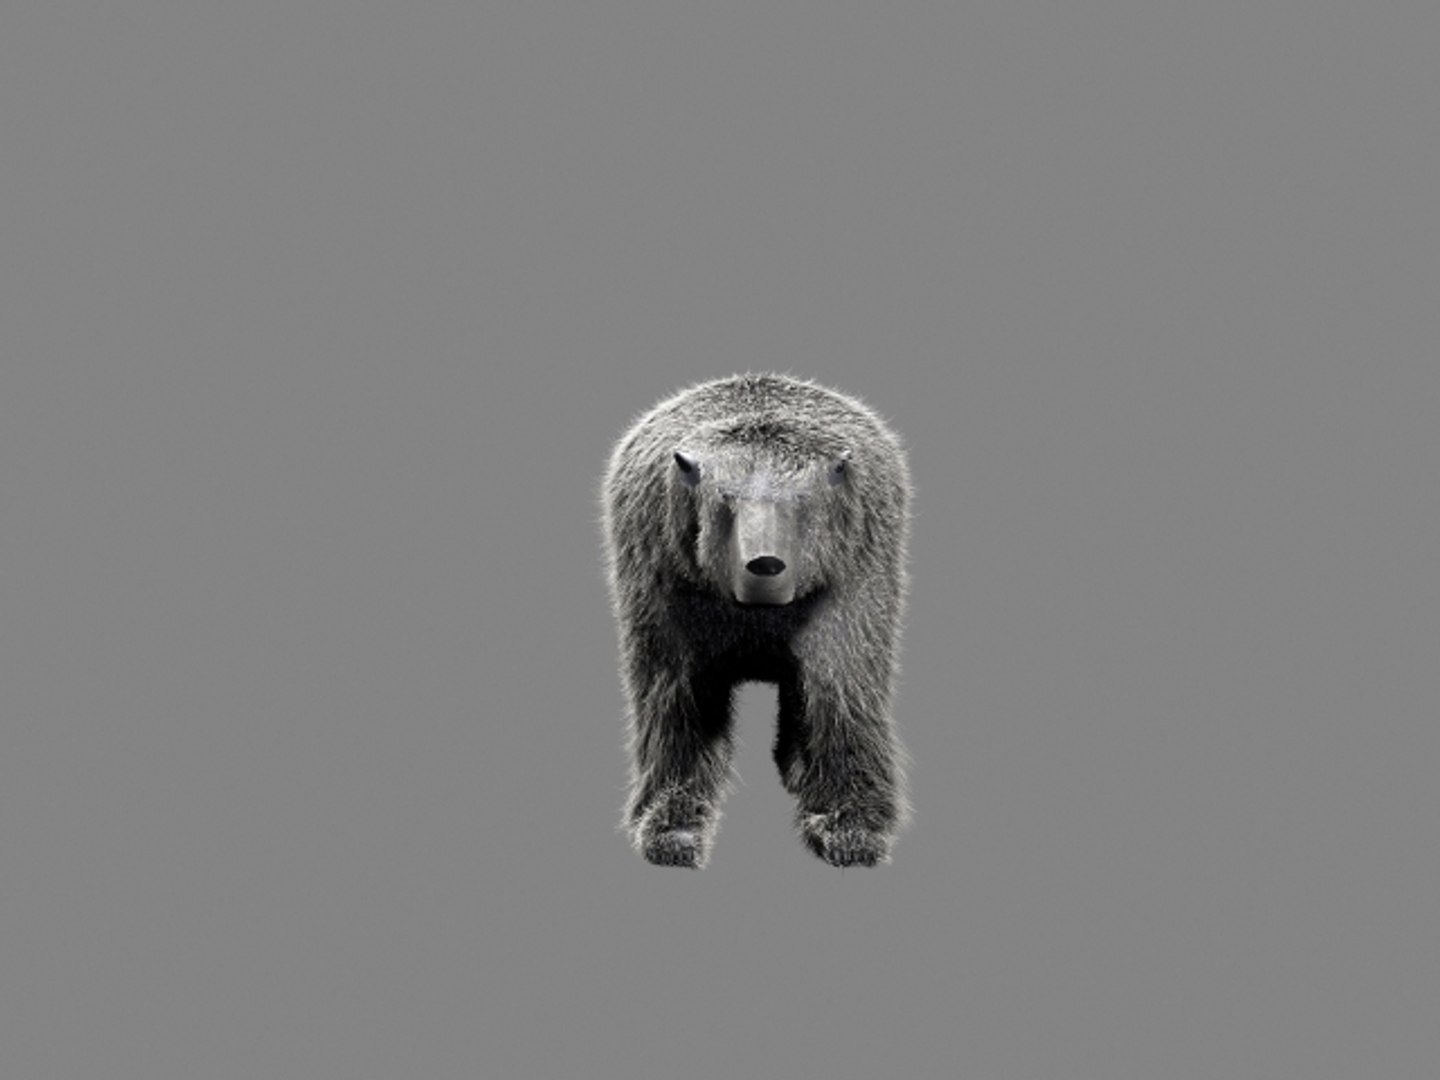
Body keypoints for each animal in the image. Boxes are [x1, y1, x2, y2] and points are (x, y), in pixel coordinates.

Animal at [600, 373, 913, 868]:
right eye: (725, 500)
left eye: (802, 502)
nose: (765, 564)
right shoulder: (662, 574)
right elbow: (678, 697)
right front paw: (673, 823)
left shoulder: (853, 569)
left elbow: (843, 688)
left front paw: (851, 822)